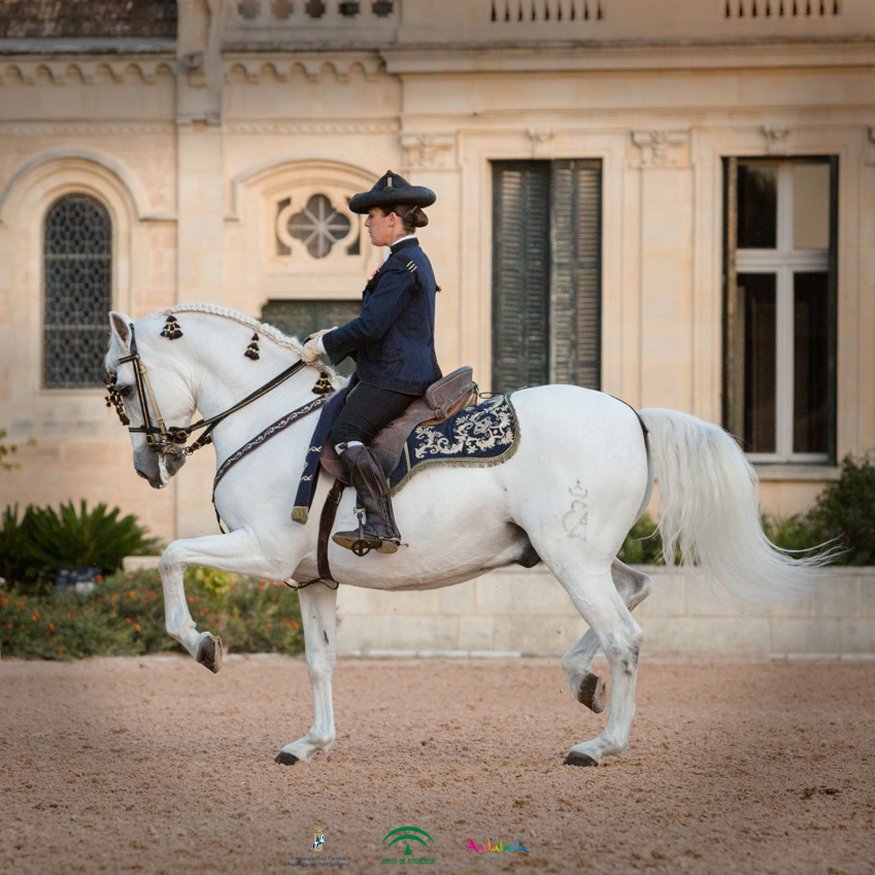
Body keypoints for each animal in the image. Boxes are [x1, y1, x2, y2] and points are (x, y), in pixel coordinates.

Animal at [104, 304, 829, 767]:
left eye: (119, 387)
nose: (147, 466)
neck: (271, 420)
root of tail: (634, 415)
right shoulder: (310, 578)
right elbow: (318, 661)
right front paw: (311, 742)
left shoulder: (264, 549)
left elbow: (170, 557)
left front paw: (201, 644)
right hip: (576, 555)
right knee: (637, 589)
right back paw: (581, 680)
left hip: (571, 561)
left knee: (625, 636)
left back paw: (601, 745)